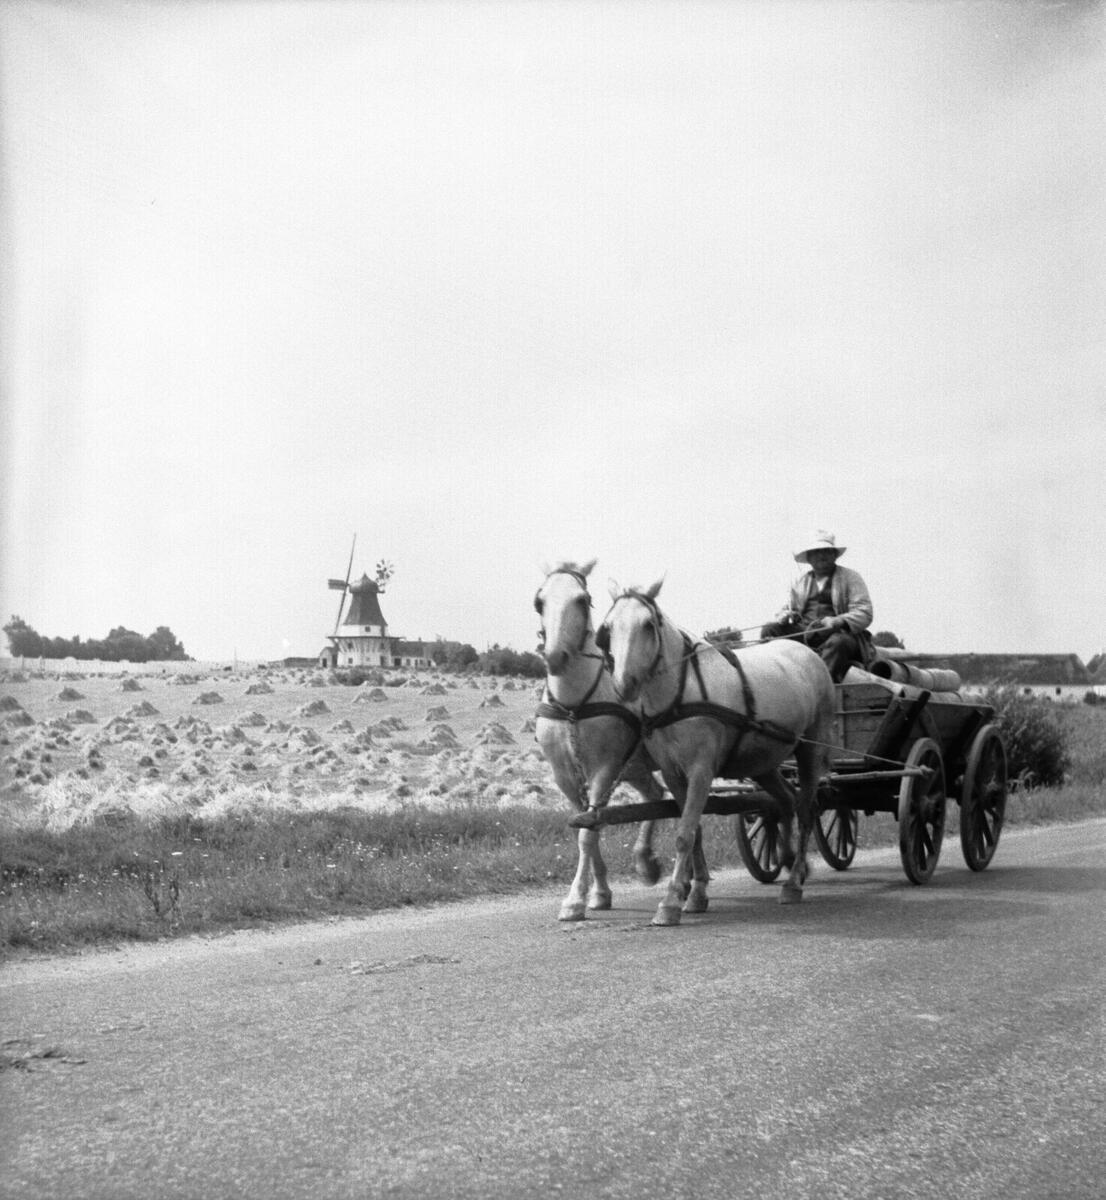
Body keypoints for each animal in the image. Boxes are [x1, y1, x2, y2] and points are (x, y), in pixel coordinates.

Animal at [533, 560, 669, 922]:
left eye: (583, 600)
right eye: (540, 601)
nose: (556, 656)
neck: (573, 706)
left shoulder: (604, 769)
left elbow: (587, 835)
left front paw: (574, 900)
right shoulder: (565, 777)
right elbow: (587, 827)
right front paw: (599, 893)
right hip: (636, 767)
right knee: (656, 796)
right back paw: (646, 861)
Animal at [596, 577, 835, 926]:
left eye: (648, 625)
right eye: (609, 627)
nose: (624, 684)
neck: (680, 692)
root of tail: (807, 651)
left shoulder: (701, 770)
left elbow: (684, 834)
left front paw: (671, 902)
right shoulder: (674, 774)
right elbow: (693, 830)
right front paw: (696, 893)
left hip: (810, 751)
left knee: (805, 809)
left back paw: (792, 884)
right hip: (763, 763)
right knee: (785, 802)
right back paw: (794, 862)